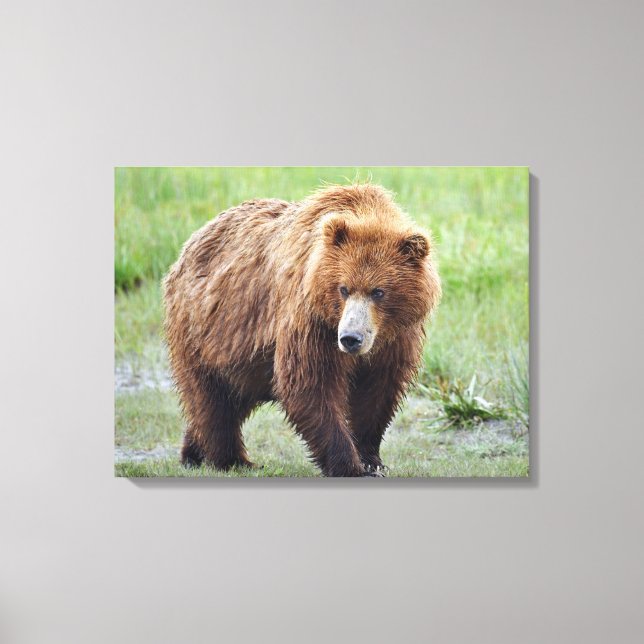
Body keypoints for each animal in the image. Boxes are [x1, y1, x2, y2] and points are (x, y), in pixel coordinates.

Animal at [163, 183, 441, 477]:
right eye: (343, 288)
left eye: (378, 291)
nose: (350, 338)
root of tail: (190, 243)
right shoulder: (311, 320)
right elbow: (309, 384)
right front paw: (348, 466)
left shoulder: (396, 336)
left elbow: (377, 392)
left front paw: (371, 460)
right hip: (204, 330)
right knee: (211, 400)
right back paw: (231, 459)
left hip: (244, 358)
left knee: (229, 398)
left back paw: (193, 452)